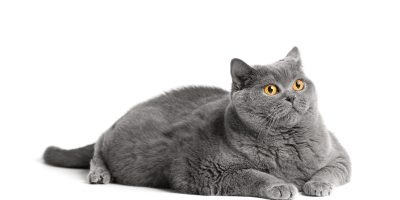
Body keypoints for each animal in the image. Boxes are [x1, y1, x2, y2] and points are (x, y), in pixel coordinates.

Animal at [43, 47, 350, 200]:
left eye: (298, 84)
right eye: (270, 90)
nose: (291, 96)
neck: (285, 145)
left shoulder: (339, 154)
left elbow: (331, 170)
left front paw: (316, 185)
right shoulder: (203, 171)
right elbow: (251, 174)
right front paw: (281, 186)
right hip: (115, 140)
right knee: (97, 144)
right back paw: (99, 174)